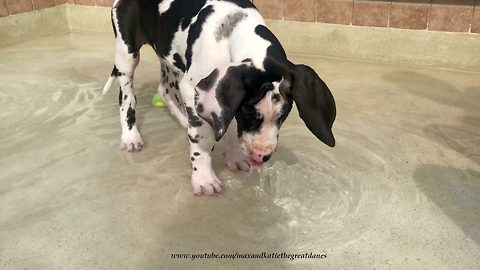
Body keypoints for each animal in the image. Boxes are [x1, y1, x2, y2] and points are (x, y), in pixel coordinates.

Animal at [103, 0, 336, 195]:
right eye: (250, 114)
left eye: (283, 115)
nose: (261, 156)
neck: (233, 28)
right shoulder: (193, 89)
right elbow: (203, 139)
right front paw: (204, 178)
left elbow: (228, 124)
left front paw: (233, 156)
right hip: (127, 55)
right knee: (127, 99)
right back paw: (131, 137)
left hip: (168, 56)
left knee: (165, 89)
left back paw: (182, 119)